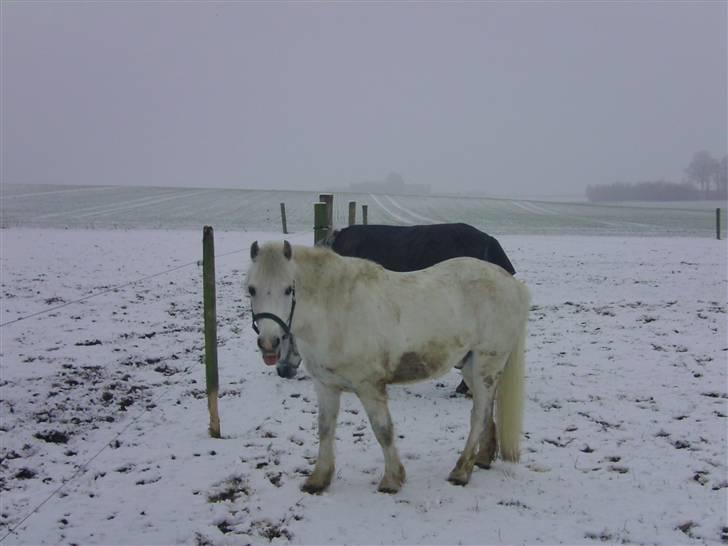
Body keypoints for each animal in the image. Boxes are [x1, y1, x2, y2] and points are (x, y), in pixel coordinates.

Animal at [246, 240, 528, 490]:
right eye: (251, 289)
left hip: (486, 365)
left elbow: (383, 430)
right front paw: (318, 480)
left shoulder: (369, 387)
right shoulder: (325, 386)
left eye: (288, 289)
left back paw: (461, 471)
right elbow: (325, 428)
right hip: (470, 367)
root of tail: (511, 283)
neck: (336, 311)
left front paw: (392, 480)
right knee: (487, 408)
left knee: (478, 414)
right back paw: (482, 458)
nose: (269, 343)